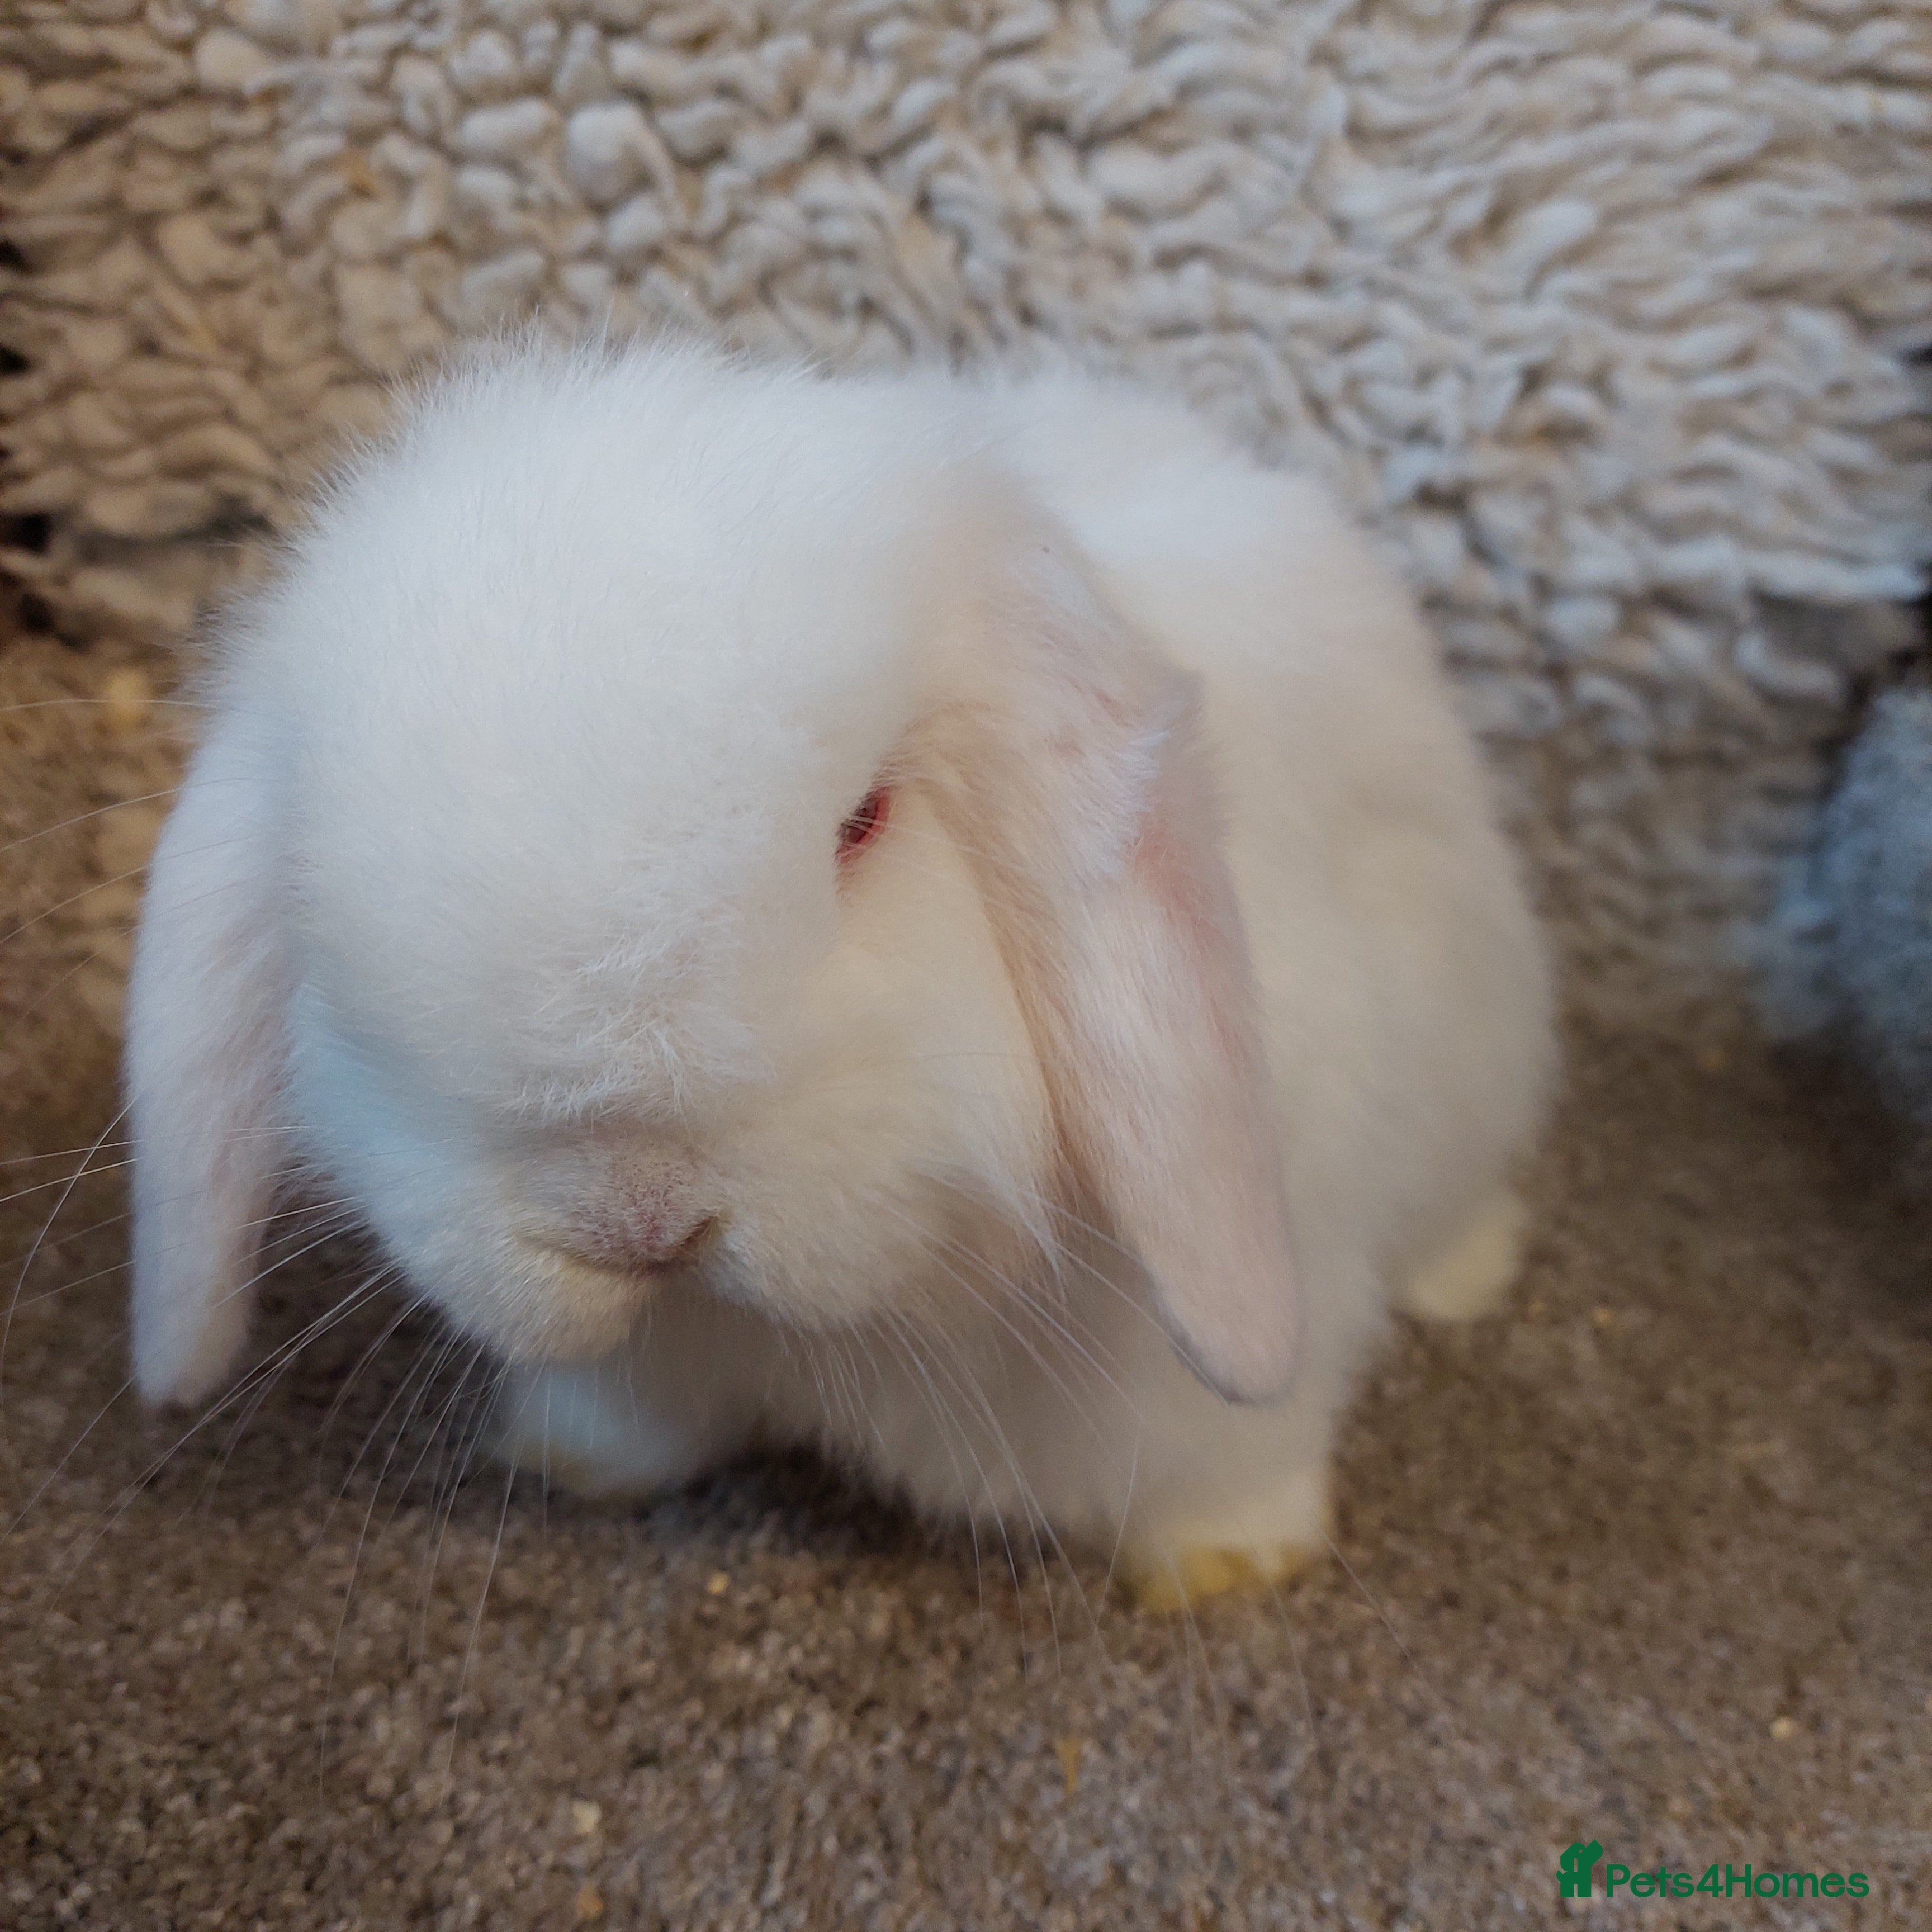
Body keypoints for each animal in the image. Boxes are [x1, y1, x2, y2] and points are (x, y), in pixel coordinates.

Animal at [124, 341, 1555, 1611]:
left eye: (861, 821)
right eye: (318, 877)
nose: (634, 1215)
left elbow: (1235, 1455)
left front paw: (1225, 1567)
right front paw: (568, 1460)